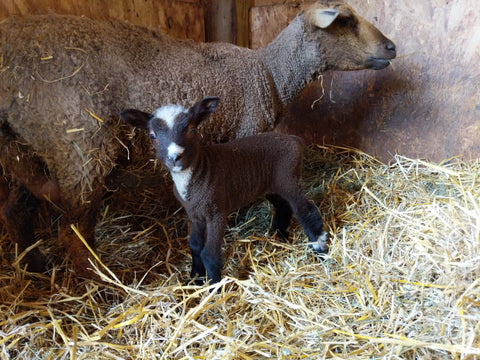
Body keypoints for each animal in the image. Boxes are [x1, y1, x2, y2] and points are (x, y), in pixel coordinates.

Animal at [0, 0, 394, 278]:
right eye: (346, 21)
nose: (391, 48)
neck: (271, 73)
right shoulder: (248, 131)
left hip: (23, 149)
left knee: (16, 212)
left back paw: (35, 269)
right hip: (78, 144)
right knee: (73, 233)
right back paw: (99, 283)